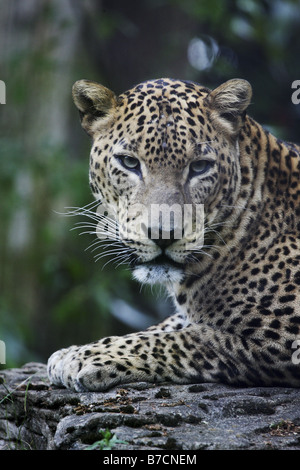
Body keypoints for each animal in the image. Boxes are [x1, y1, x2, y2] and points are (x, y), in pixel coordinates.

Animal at [47, 78, 300, 392]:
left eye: (200, 166)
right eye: (129, 163)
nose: (163, 235)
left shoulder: (284, 332)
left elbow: (182, 339)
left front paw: (87, 356)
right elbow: (164, 326)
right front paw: (73, 351)